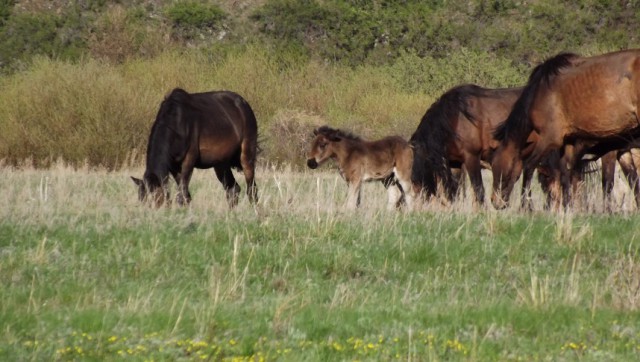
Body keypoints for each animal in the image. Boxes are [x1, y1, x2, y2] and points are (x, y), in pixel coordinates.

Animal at [492, 49, 640, 211]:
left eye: (499, 170)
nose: (495, 202)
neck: (541, 93)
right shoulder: (572, 141)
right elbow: (567, 172)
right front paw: (568, 207)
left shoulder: (550, 139)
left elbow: (529, 166)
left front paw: (525, 206)